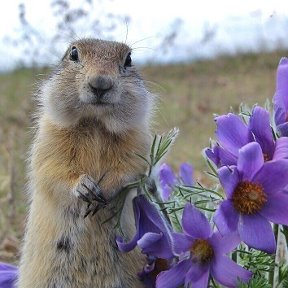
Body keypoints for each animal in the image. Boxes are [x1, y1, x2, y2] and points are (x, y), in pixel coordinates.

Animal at [16, 38, 153, 288]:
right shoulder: (49, 136)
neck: (95, 122)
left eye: (128, 59)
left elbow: (129, 168)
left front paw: (104, 190)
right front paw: (84, 186)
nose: (100, 83)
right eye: (73, 53)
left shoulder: (137, 139)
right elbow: (52, 168)